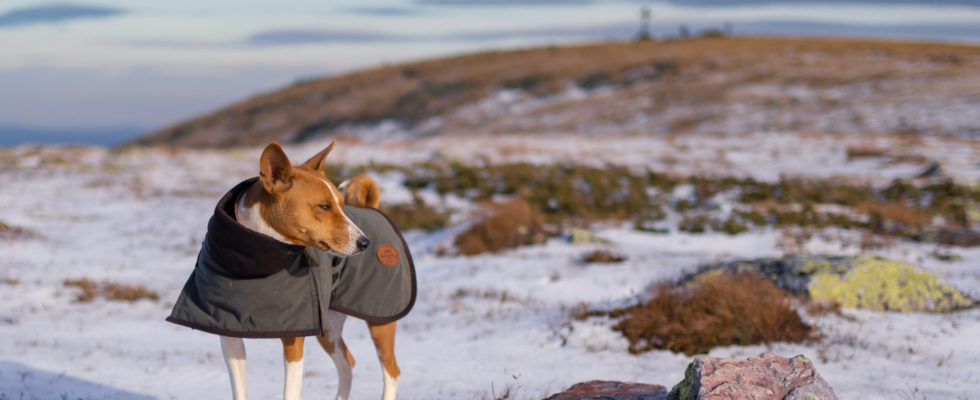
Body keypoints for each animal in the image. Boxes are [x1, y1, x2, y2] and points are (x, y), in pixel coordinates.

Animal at [224, 141, 400, 400]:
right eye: (324, 206)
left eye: (341, 204)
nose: (365, 242)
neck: (256, 261)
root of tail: (372, 208)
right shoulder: (229, 337)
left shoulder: (293, 338)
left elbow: (290, 392)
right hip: (327, 329)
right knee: (348, 364)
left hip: (380, 322)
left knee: (391, 371)